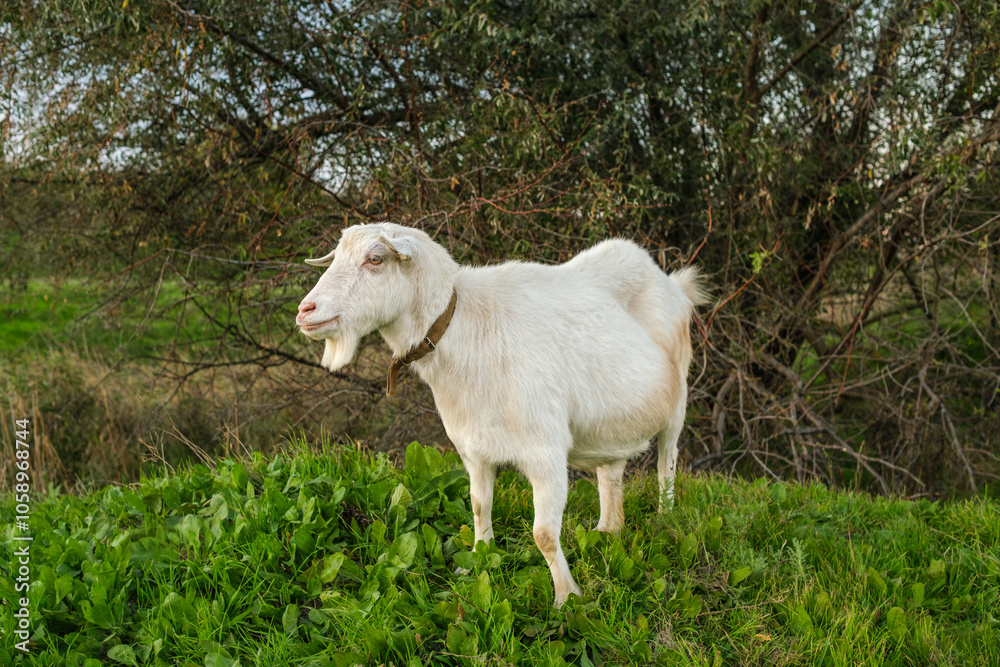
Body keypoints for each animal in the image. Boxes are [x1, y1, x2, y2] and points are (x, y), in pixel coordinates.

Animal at [296, 222, 708, 605]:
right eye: (335, 257)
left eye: (376, 259)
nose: (305, 311)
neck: (464, 328)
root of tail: (672, 283)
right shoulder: (473, 449)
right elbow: (479, 507)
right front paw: (478, 560)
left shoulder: (546, 453)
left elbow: (543, 534)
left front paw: (566, 599)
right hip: (613, 425)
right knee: (612, 473)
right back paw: (607, 531)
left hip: (679, 402)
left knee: (666, 465)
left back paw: (665, 517)